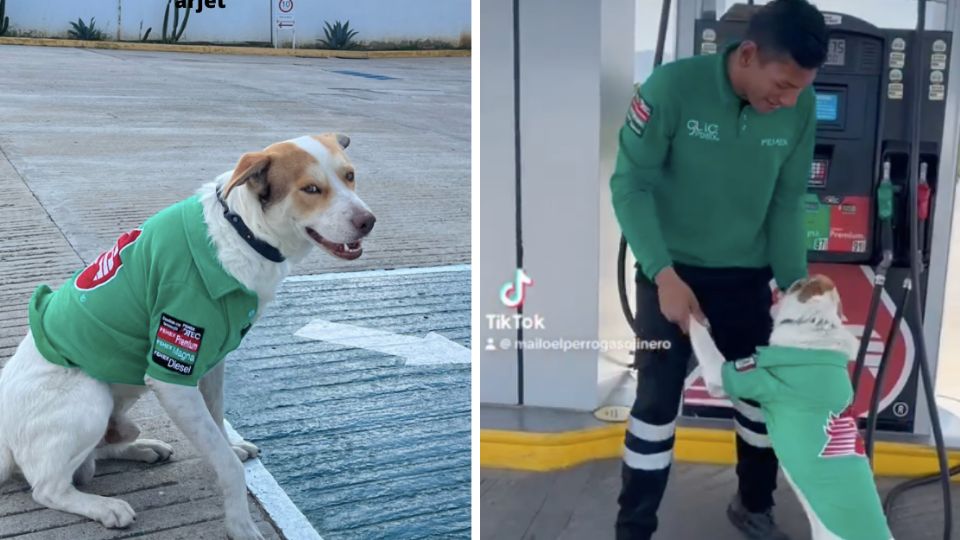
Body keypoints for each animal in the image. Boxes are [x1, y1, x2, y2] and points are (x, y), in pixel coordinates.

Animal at [0, 133, 374, 536]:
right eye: (311, 189)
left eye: (350, 176)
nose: (368, 221)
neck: (241, 230)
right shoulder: (173, 378)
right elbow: (227, 465)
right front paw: (240, 524)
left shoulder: (214, 360)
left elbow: (217, 422)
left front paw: (229, 447)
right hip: (90, 395)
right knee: (49, 486)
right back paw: (104, 506)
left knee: (93, 457)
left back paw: (142, 448)